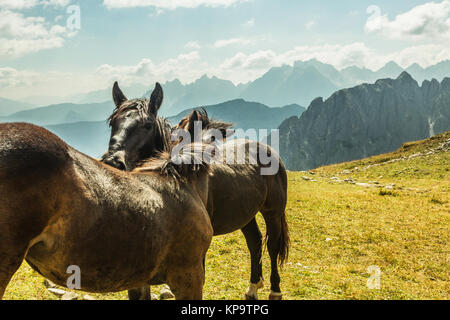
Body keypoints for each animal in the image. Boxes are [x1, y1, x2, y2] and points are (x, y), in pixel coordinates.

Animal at [102, 82, 290, 300]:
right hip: (246, 213)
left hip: (273, 212)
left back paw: (275, 290)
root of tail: (269, 151)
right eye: (113, 123)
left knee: (272, 246)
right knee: (255, 241)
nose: (113, 161)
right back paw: (252, 288)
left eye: (147, 125)